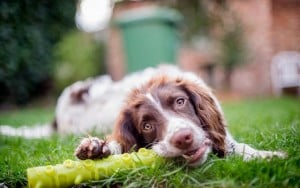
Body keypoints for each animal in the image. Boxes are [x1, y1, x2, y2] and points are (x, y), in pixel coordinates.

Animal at [73, 65, 286, 166]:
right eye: (147, 126)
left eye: (180, 101)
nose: (183, 138)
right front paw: (96, 147)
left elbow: (238, 147)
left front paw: (268, 156)